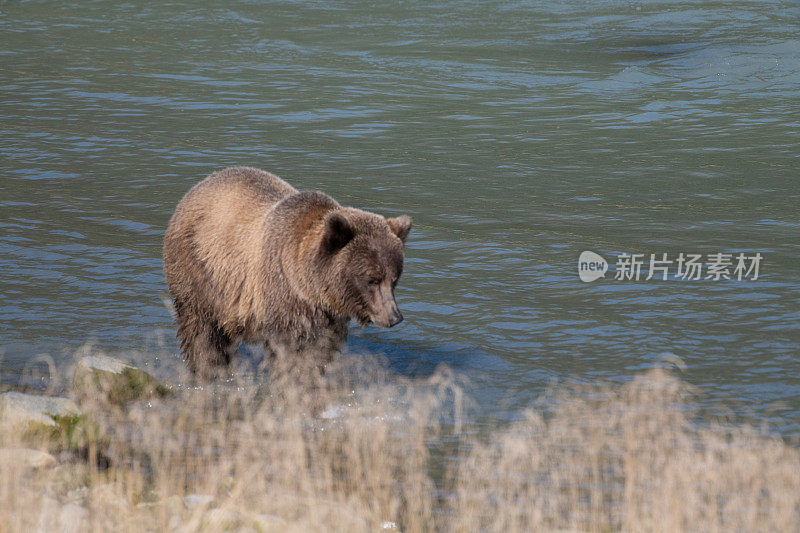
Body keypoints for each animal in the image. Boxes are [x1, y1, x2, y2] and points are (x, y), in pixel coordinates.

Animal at [162, 166, 412, 378]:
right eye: (372, 279)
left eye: (394, 279)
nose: (394, 317)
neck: (309, 285)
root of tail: (198, 187)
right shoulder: (284, 297)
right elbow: (292, 350)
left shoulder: (327, 316)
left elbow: (320, 351)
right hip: (201, 273)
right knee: (202, 332)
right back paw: (208, 368)